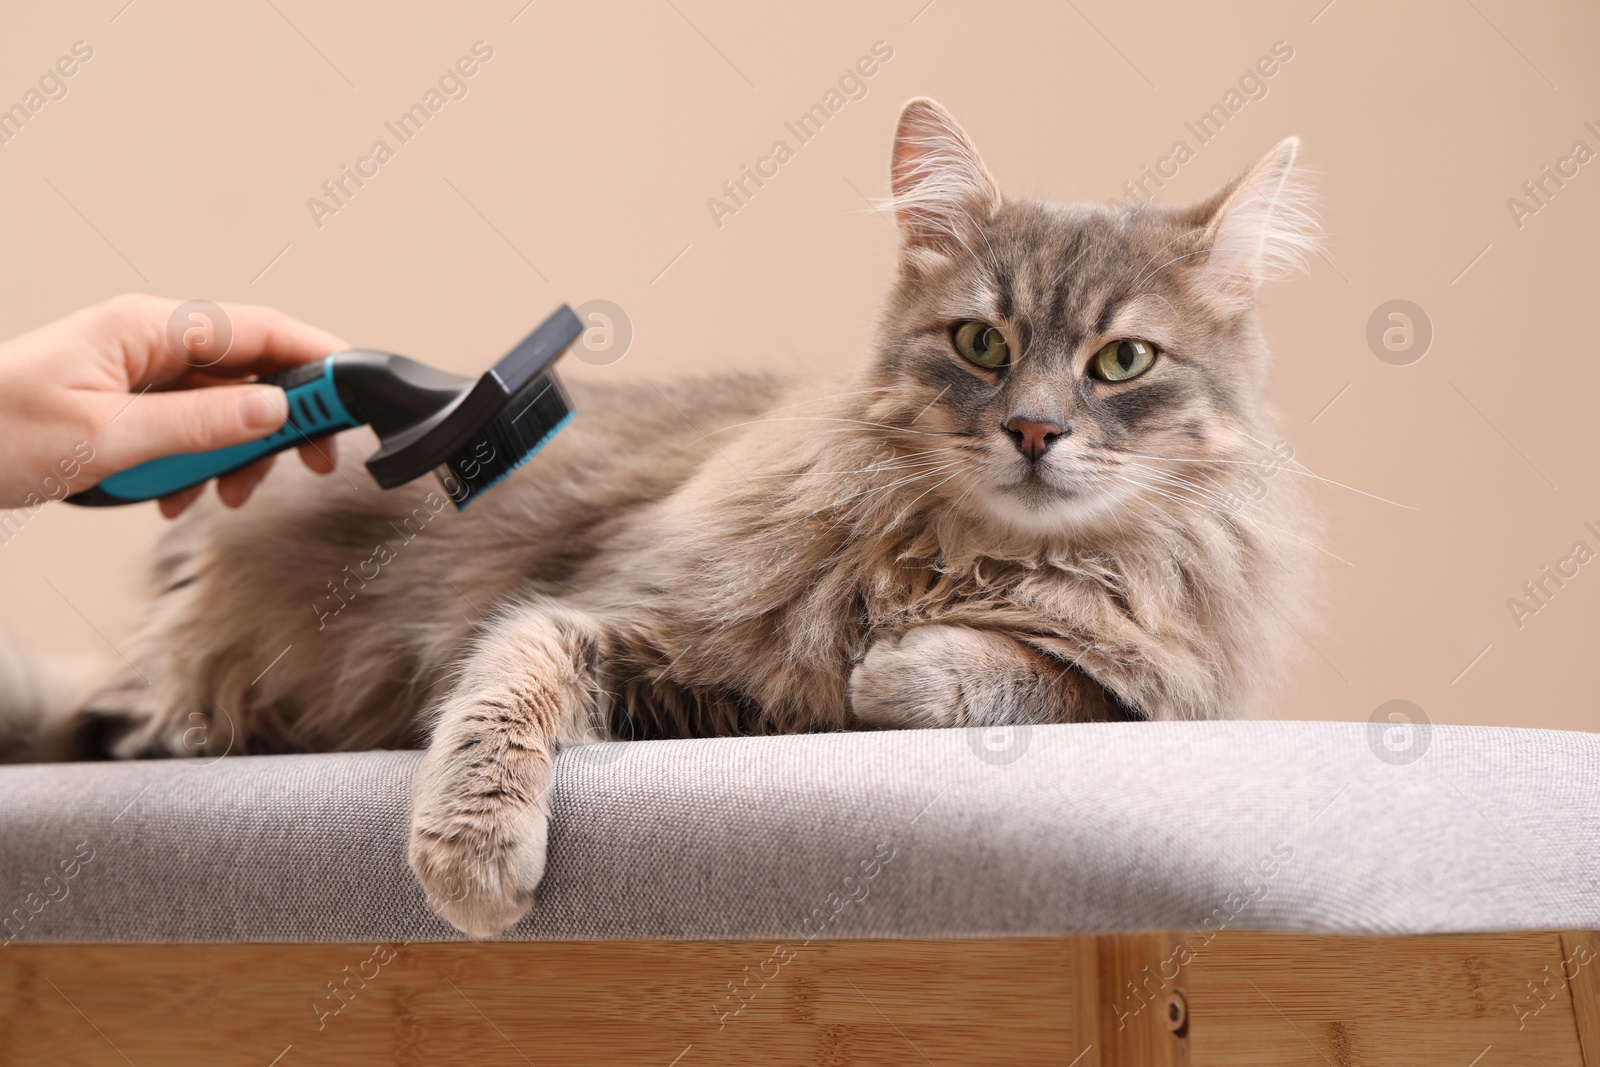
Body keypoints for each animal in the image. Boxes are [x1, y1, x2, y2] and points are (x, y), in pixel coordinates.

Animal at [6, 97, 1318, 934]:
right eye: (981, 345)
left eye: (1121, 362)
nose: (1036, 432)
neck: (962, 557)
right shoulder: (599, 612)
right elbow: (500, 697)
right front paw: (473, 860)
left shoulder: (1152, 686)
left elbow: (1007, 673)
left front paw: (893, 663)